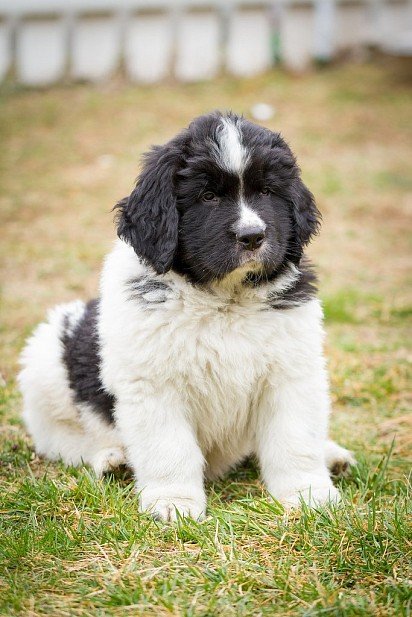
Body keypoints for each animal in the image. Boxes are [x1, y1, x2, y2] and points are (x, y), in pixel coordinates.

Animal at [19, 110, 354, 520]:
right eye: (207, 197)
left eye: (266, 192)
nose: (252, 236)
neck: (224, 300)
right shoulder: (154, 384)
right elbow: (170, 449)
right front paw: (173, 504)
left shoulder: (292, 370)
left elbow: (294, 440)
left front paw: (307, 494)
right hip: (45, 363)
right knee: (62, 439)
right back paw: (111, 459)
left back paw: (331, 453)